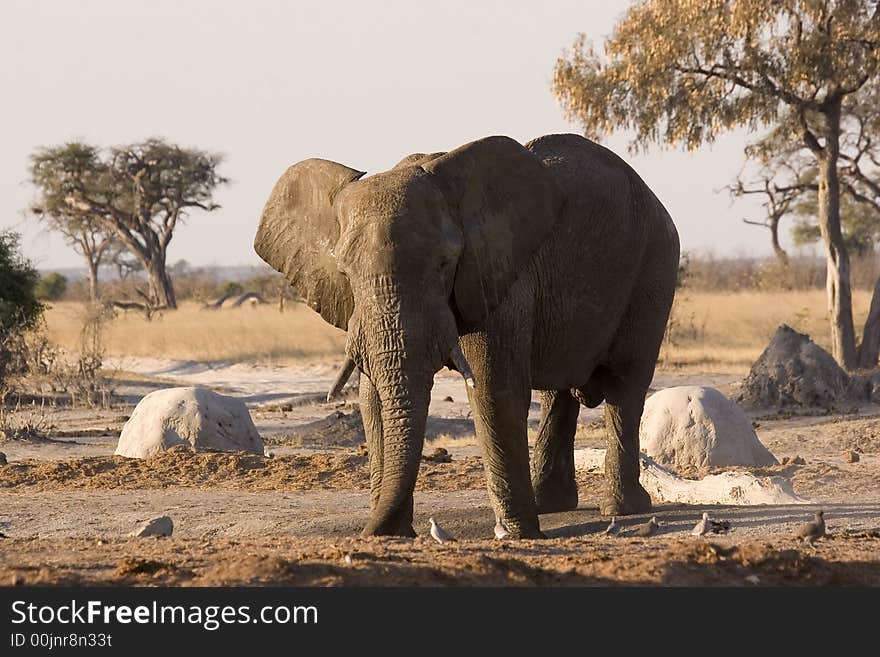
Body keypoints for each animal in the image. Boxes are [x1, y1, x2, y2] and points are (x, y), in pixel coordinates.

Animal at [254, 133, 680, 540]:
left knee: (626, 385)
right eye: (344, 271)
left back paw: (622, 509)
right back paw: (550, 505)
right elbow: (372, 397)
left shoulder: (498, 275)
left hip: (656, 266)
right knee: (557, 392)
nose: (371, 530)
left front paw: (520, 535)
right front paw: (393, 530)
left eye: (445, 264)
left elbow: (493, 387)